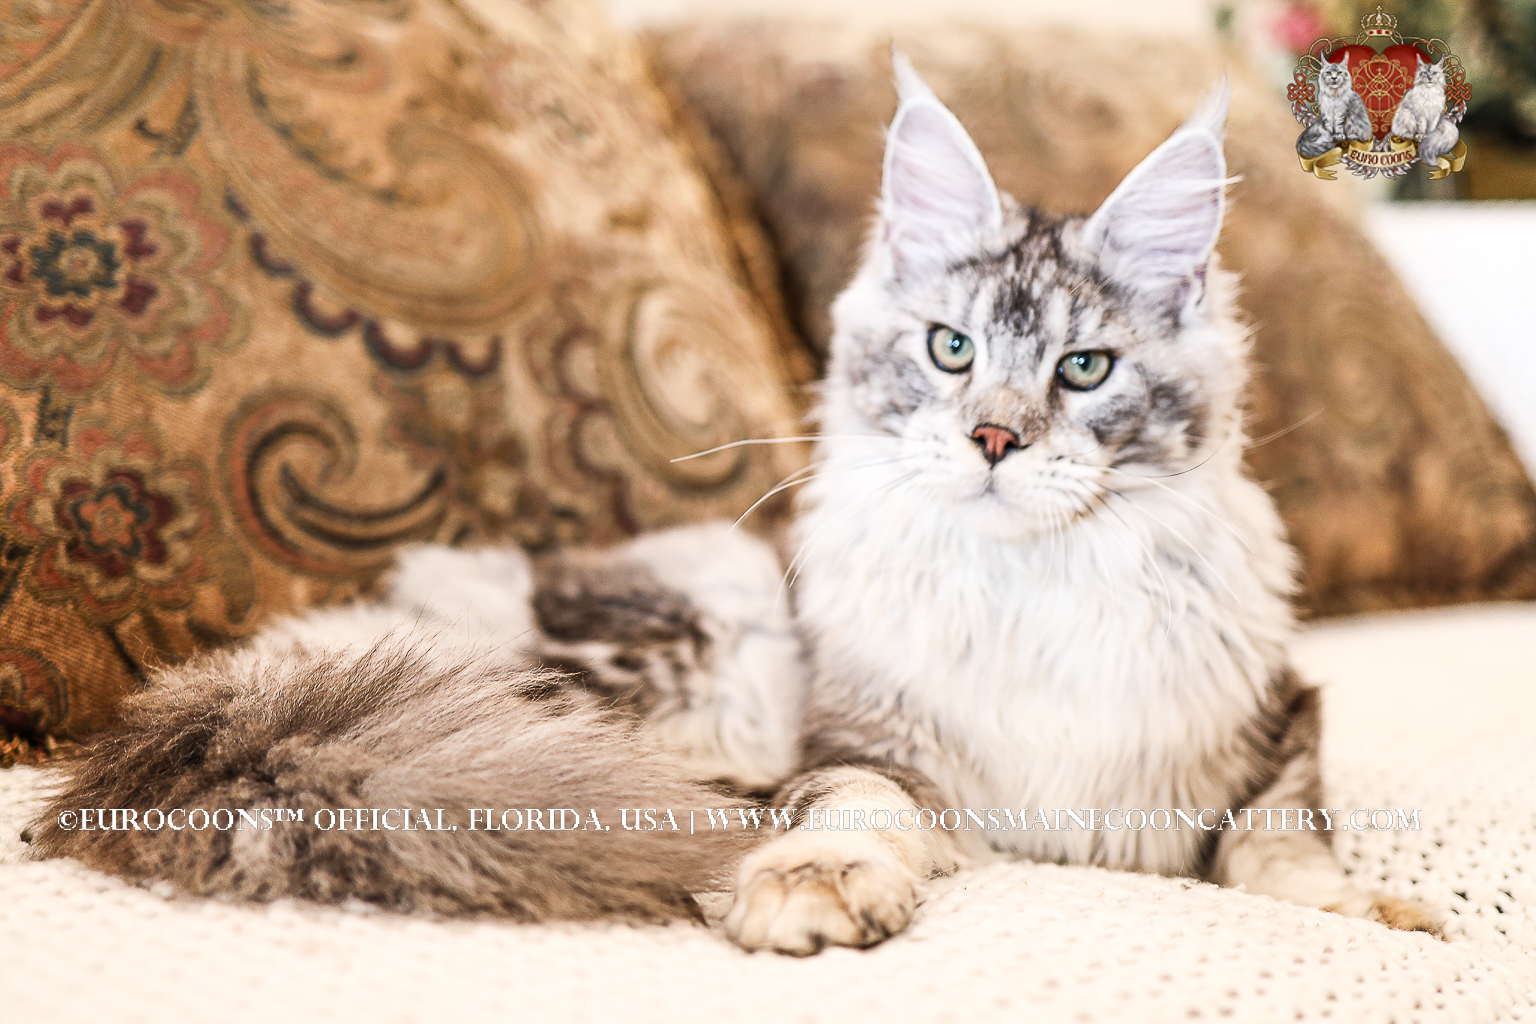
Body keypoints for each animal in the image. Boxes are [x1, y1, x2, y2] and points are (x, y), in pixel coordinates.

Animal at [24, 60, 1437, 951]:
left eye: (1083, 370)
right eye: (950, 350)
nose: (992, 437)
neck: (1028, 591)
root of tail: (264, 678)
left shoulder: (1278, 719)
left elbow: (1284, 842)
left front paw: (1366, 916)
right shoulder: (864, 748)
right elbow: (853, 817)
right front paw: (807, 891)